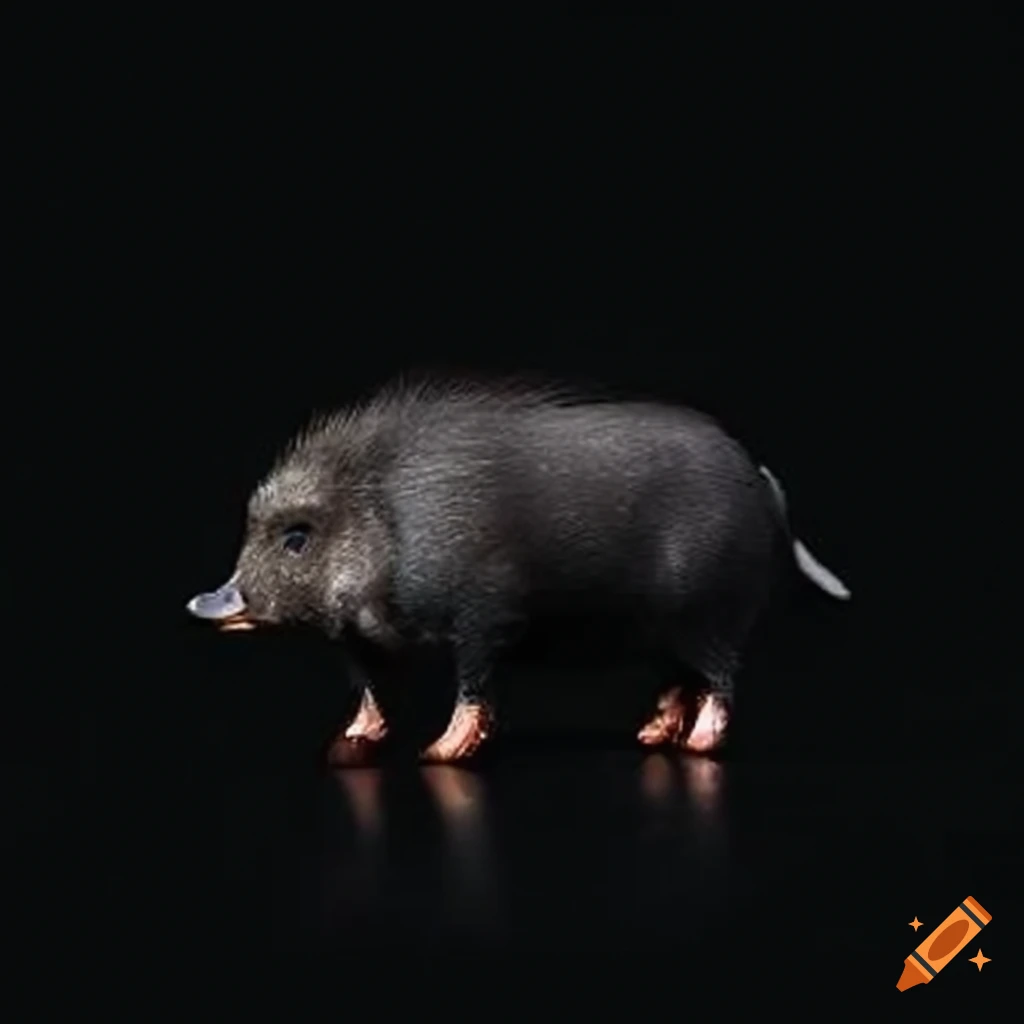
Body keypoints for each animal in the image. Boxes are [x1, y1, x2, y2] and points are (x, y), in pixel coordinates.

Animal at [187, 376, 851, 763]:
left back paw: (696, 745)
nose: (202, 602)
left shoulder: (484, 616)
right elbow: (371, 691)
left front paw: (437, 755)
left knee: (719, 681)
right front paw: (351, 741)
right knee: (680, 682)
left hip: (711, 617)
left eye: (297, 538)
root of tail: (759, 476)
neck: (387, 519)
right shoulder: (362, 643)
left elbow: (474, 688)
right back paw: (650, 736)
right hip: (673, 634)